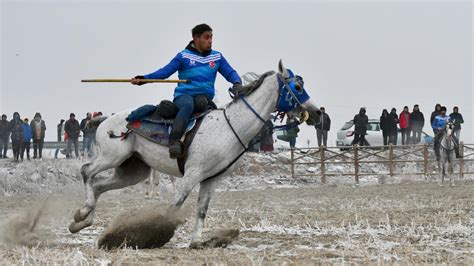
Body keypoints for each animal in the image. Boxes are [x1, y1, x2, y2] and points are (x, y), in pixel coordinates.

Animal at [68, 60, 320, 247]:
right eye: (297, 88)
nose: (316, 113)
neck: (228, 126)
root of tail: (105, 120)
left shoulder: (211, 180)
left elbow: (202, 211)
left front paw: (196, 242)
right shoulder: (191, 175)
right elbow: (175, 206)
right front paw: (156, 235)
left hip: (132, 171)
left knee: (99, 185)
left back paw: (81, 221)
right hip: (112, 157)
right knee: (87, 171)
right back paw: (83, 212)